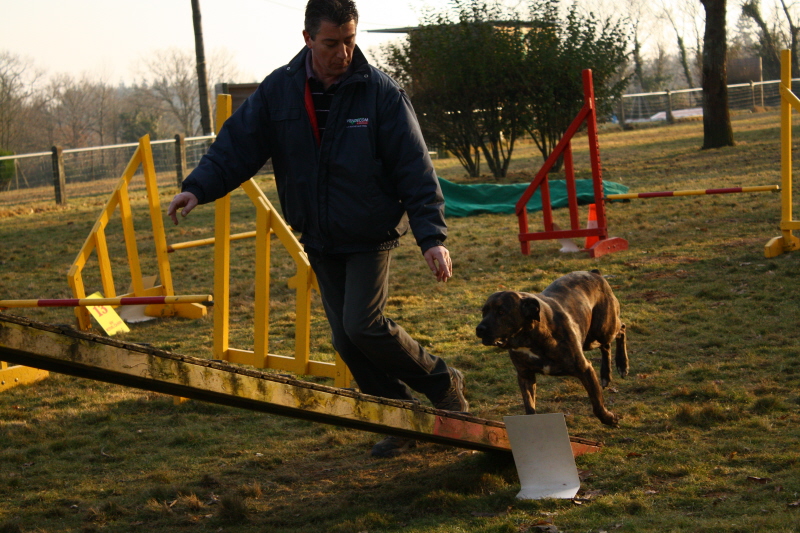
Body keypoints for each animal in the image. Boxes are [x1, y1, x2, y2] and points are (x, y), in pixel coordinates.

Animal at [476, 270, 624, 424]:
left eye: (501, 312)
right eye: (484, 311)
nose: (479, 329)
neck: (529, 338)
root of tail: (594, 273)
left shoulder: (585, 369)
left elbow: (597, 402)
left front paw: (608, 418)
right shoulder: (525, 376)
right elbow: (530, 406)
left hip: (603, 330)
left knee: (621, 329)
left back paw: (622, 365)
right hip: (590, 339)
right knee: (606, 345)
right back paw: (606, 375)